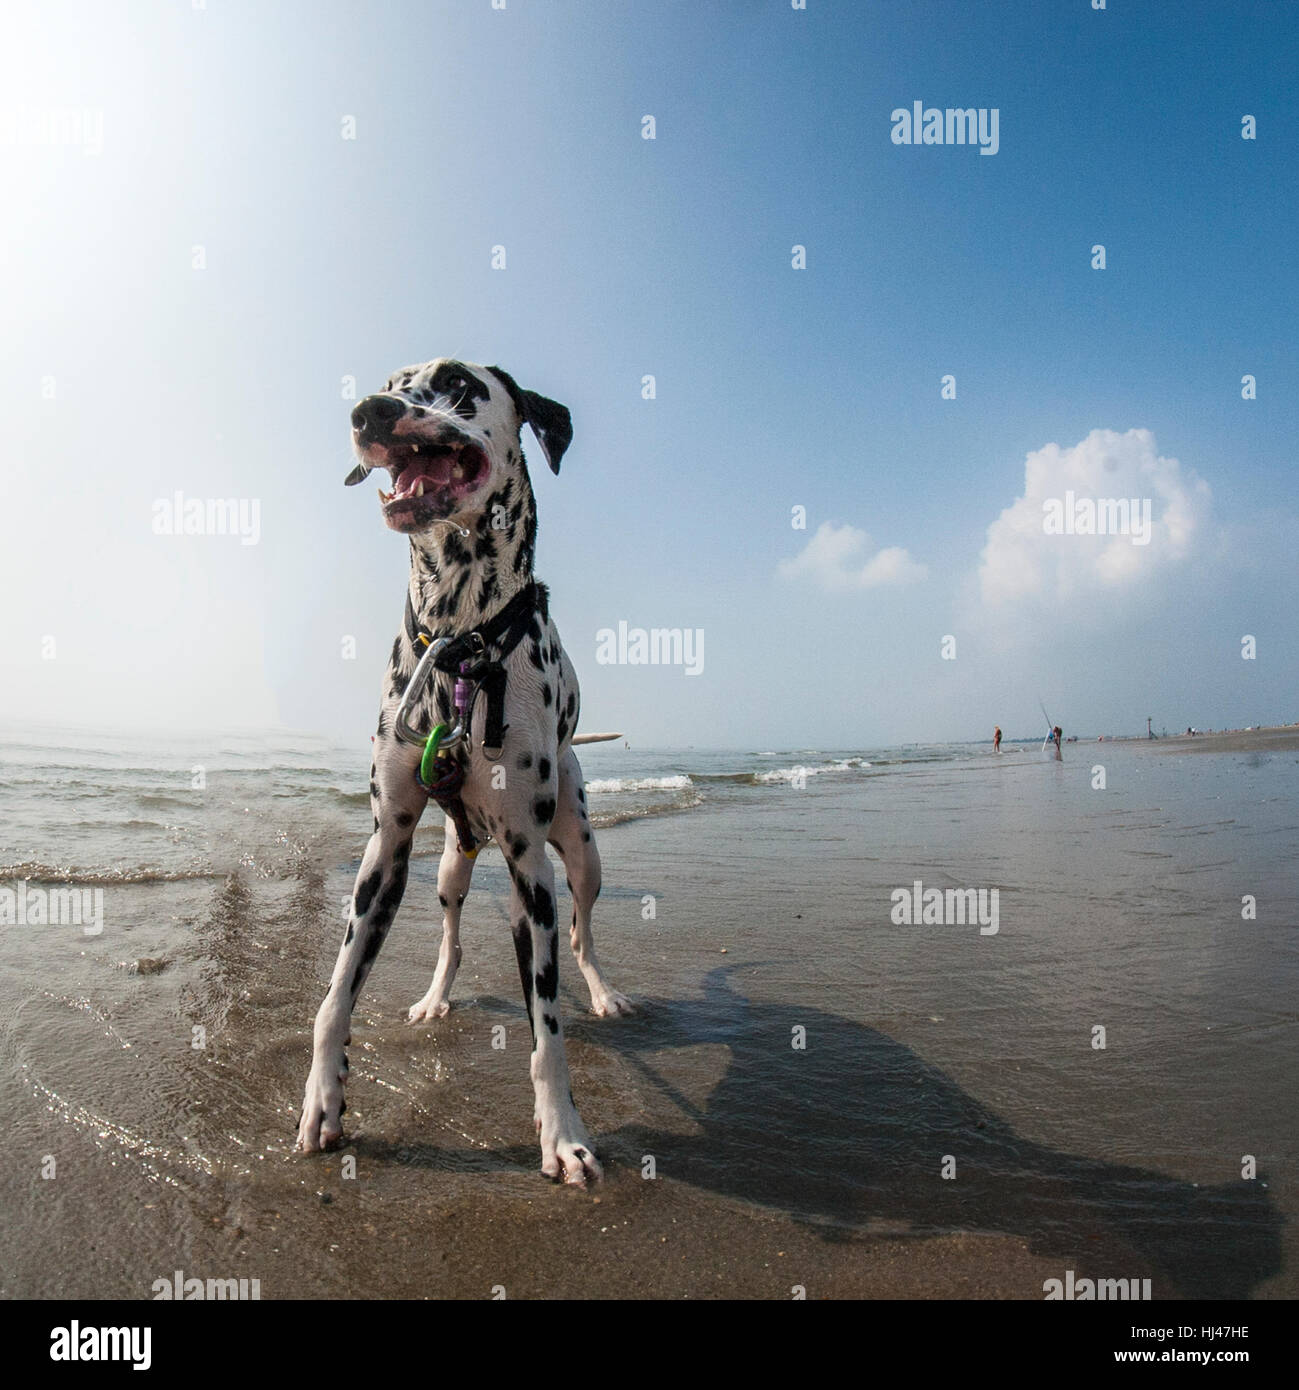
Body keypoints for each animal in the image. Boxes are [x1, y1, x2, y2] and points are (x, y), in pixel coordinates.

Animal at [300, 358, 636, 1184]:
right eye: (392, 384)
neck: (460, 637)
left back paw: (604, 993)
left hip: (577, 852)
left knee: (580, 932)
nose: (368, 411)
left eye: (457, 385)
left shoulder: (527, 866)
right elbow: (335, 993)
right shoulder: (384, 848)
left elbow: (547, 1032)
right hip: (452, 864)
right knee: (451, 933)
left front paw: (562, 1133)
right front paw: (322, 1096)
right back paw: (433, 999)